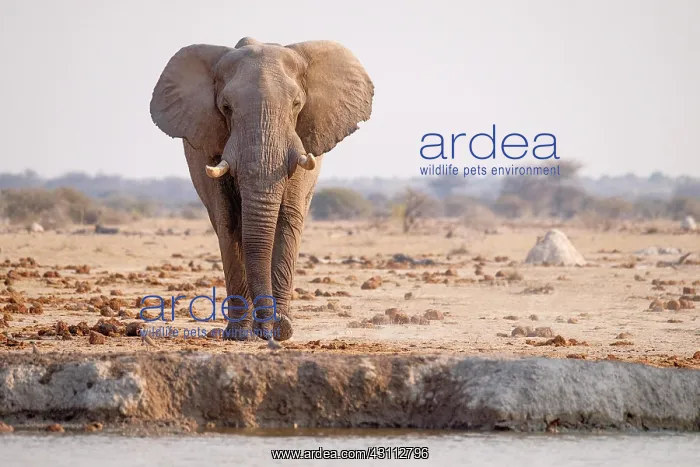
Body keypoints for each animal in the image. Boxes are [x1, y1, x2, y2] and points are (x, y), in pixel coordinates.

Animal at [149, 37, 373, 341]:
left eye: (296, 104)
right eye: (226, 107)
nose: (274, 328)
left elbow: (287, 220)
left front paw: (280, 331)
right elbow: (230, 223)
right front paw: (241, 335)